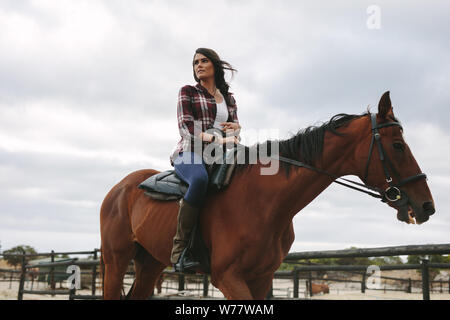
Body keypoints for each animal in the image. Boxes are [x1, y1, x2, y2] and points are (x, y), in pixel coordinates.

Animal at [100, 91, 434, 298]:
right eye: (397, 145)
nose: (426, 205)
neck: (265, 204)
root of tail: (119, 189)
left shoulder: (261, 278)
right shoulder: (228, 277)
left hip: (150, 264)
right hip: (116, 262)